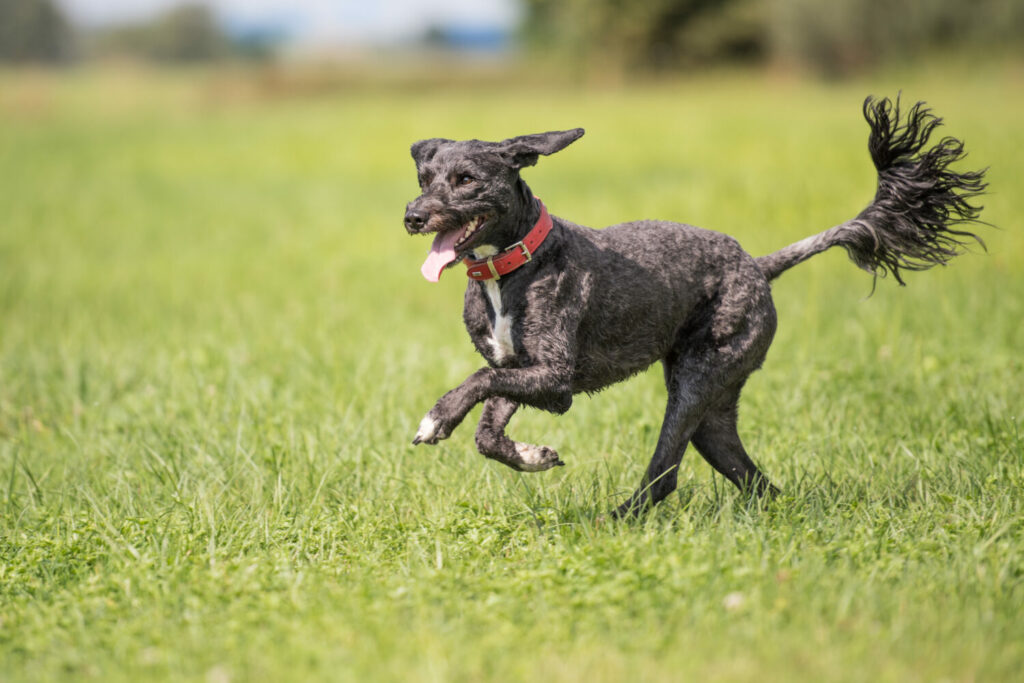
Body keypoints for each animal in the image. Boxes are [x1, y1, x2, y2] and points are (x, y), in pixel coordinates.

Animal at [401, 94, 983, 511]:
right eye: (423, 178)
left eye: (465, 180)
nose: (412, 215)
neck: (514, 265)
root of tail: (759, 265)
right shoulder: (517, 366)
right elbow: (488, 431)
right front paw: (533, 455)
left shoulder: (556, 377)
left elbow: (477, 384)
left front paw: (435, 418)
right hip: (715, 401)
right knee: (744, 471)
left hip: (698, 378)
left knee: (665, 472)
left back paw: (618, 519)